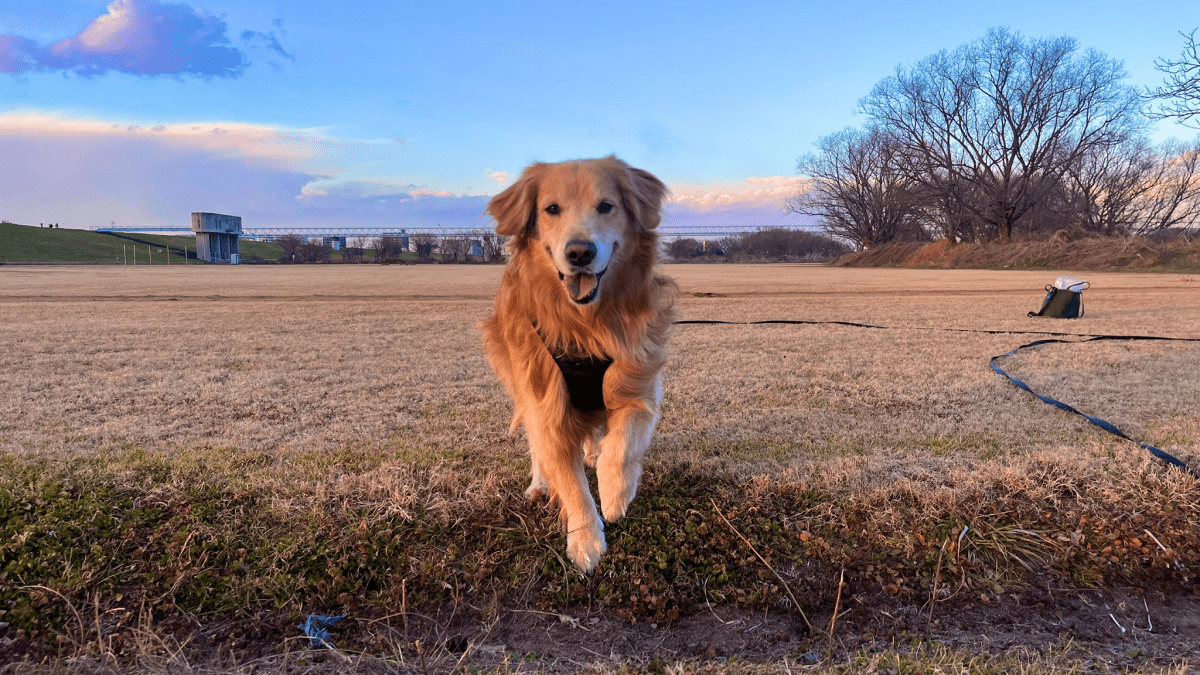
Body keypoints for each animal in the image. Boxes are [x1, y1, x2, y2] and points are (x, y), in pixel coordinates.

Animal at [482, 154, 681, 569]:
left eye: (606, 206)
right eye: (551, 209)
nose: (579, 253)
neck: (584, 326)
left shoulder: (639, 384)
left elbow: (623, 445)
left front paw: (616, 492)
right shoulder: (546, 403)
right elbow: (570, 482)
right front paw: (586, 539)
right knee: (537, 445)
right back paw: (540, 483)